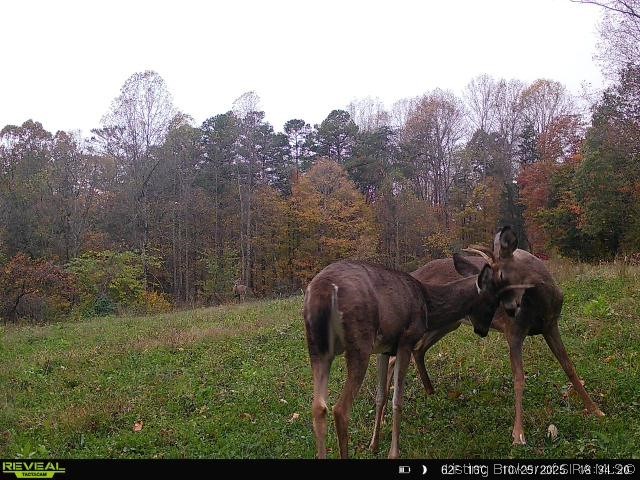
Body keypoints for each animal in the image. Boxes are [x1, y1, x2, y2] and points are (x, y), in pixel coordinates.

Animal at [304, 254, 503, 459]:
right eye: (493, 302)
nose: (483, 331)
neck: (427, 303)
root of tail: (324, 290)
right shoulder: (405, 341)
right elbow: (397, 399)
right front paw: (393, 453)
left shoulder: (383, 349)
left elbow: (381, 396)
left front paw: (374, 445)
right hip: (359, 343)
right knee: (340, 409)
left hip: (318, 348)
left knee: (318, 407)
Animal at [396, 226, 605, 445]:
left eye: (502, 277)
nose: (509, 309)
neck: (540, 303)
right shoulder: (513, 331)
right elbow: (519, 378)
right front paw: (518, 434)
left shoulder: (551, 325)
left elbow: (569, 367)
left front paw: (596, 410)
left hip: (448, 324)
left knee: (418, 349)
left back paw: (430, 391)